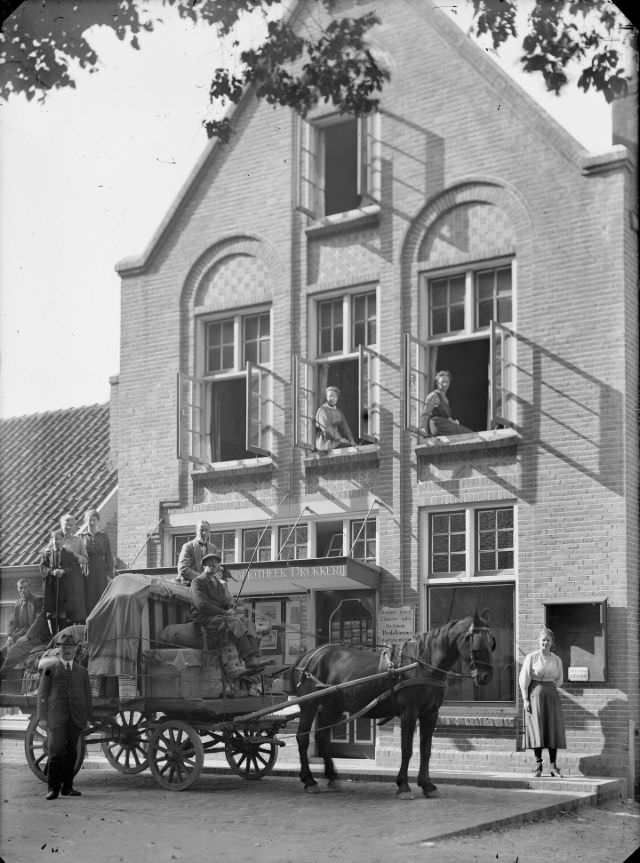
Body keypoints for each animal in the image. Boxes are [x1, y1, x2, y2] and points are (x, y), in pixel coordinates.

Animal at [290, 612, 496, 800]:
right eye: (476, 641)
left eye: (492, 642)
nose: (486, 677)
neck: (423, 665)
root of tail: (308, 656)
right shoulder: (409, 712)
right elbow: (407, 749)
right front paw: (404, 786)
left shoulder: (431, 713)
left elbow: (426, 750)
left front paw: (428, 786)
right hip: (309, 705)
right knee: (303, 738)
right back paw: (309, 781)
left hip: (332, 707)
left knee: (322, 737)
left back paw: (332, 777)